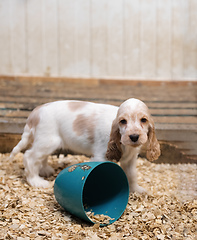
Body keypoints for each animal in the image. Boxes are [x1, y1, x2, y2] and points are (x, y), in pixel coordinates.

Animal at [10, 98, 160, 191]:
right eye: (123, 121)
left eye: (144, 120)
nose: (134, 137)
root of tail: (35, 113)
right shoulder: (101, 156)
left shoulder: (130, 160)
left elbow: (132, 175)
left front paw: (136, 190)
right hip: (48, 140)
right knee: (29, 156)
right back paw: (36, 181)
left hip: (46, 142)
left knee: (40, 157)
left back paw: (45, 170)